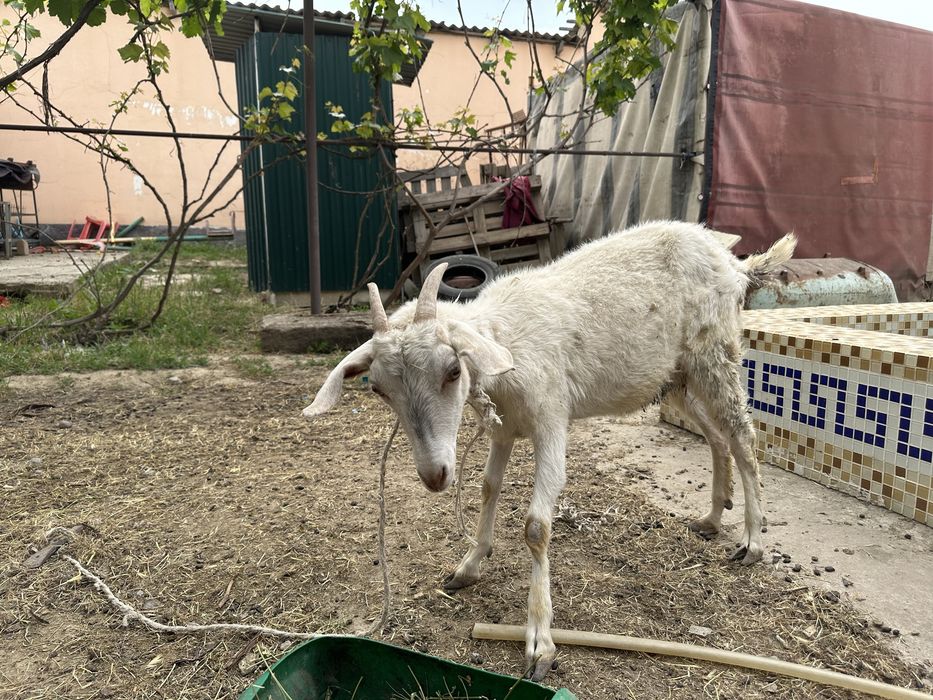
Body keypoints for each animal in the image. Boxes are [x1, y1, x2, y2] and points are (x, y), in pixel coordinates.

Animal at [304, 220, 796, 681]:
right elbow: (488, 488)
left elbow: (536, 527)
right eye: (378, 389)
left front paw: (540, 643)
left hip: (715, 353)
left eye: (452, 370)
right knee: (716, 436)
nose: (434, 475)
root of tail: (734, 263)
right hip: (677, 376)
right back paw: (712, 516)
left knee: (743, 438)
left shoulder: (550, 418)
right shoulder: (504, 429)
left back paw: (752, 540)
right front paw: (469, 565)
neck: (505, 344)